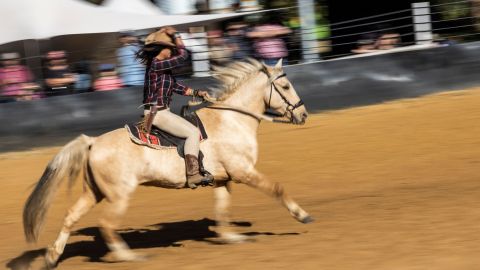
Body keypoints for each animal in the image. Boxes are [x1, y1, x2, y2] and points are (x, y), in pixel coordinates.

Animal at [23, 58, 312, 266]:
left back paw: (52, 256)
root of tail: (93, 142)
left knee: (71, 216)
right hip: (119, 195)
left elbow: (222, 209)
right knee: (107, 225)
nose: (303, 114)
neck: (231, 120)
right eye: (285, 86)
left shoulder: (223, 179)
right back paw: (130, 256)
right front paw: (302, 215)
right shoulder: (244, 172)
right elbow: (277, 188)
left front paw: (230, 237)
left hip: (94, 192)